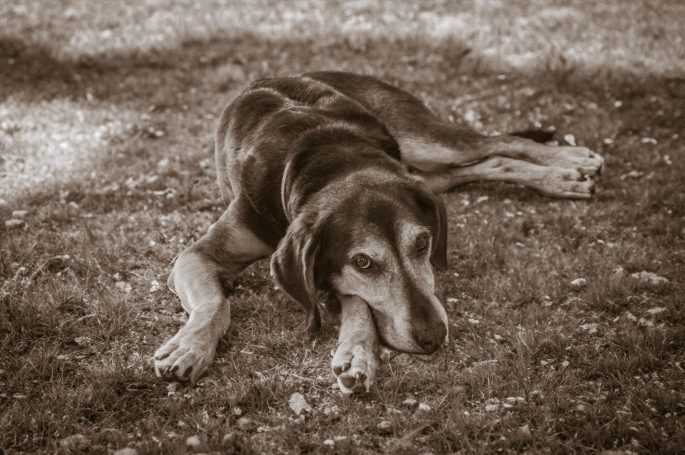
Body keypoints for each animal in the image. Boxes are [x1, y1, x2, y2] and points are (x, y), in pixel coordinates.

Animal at [152, 72, 600, 396]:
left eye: (423, 243)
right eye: (363, 261)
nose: (434, 338)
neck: (328, 155)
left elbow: (357, 302)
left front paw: (355, 352)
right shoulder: (198, 255)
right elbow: (215, 303)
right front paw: (189, 347)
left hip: (422, 141)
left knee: (495, 142)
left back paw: (569, 163)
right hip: (424, 171)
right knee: (487, 163)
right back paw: (563, 176)